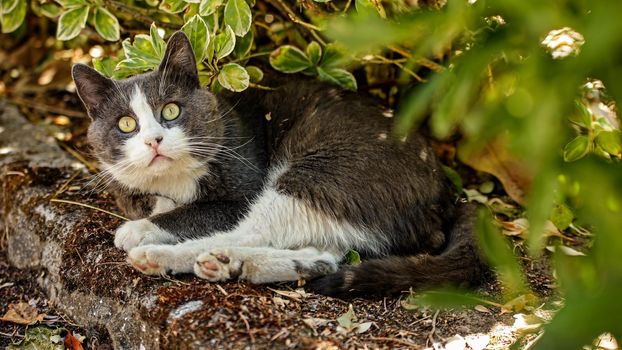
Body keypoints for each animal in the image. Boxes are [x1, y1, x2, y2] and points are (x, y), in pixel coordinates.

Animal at [70, 32, 486, 296]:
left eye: (171, 110)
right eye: (126, 124)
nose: (154, 140)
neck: (169, 182)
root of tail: (446, 193)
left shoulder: (241, 181)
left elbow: (196, 213)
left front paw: (140, 229)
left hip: (323, 172)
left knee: (253, 230)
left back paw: (169, 256)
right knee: (326, 254)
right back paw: (240, 264)